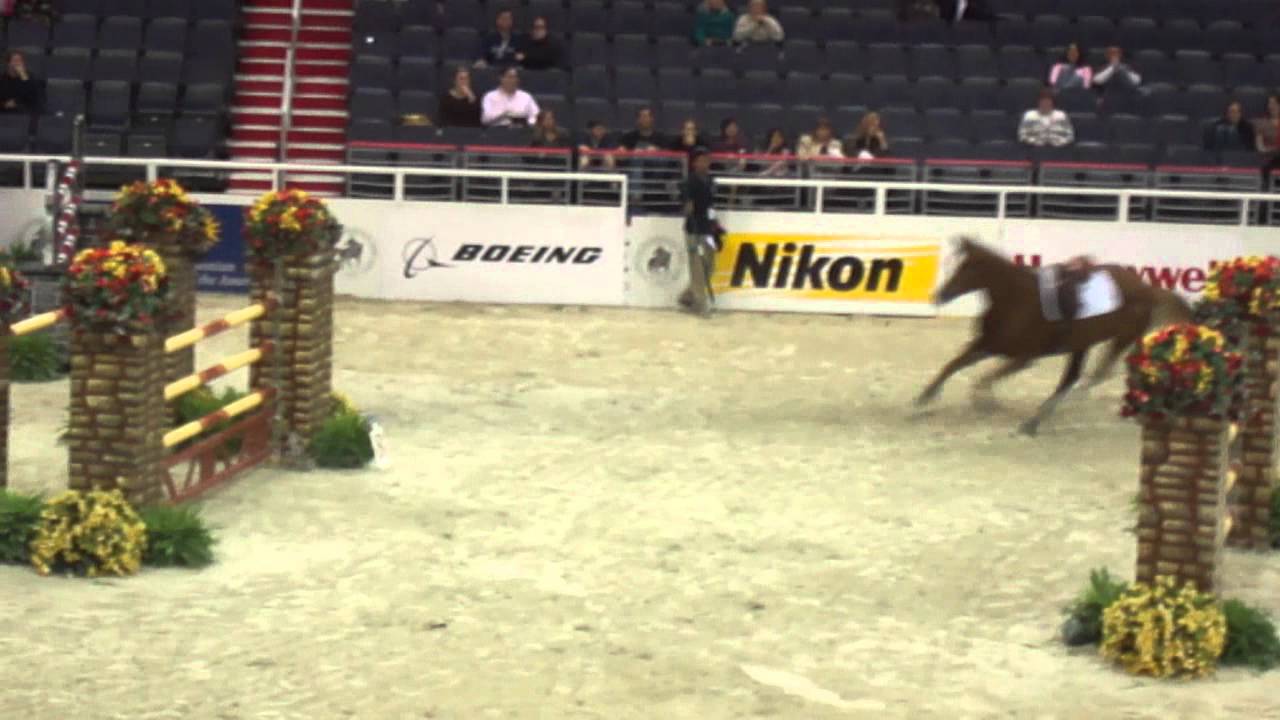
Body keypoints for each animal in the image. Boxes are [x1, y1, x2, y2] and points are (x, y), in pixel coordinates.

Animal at [916, 238, 1192, 435]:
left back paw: (1040, 418)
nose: (938, 295)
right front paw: (924, 397)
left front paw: (985, 402)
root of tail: (1147, 288)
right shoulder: (989, 344)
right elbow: (953, 365)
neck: (1015, 299)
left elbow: (984, 378)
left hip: (1120, 338)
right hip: (1083, 344)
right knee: (1076, 377)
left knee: (1091, 375)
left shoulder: (1024, 358)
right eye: (952, 265)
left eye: (966, 268)